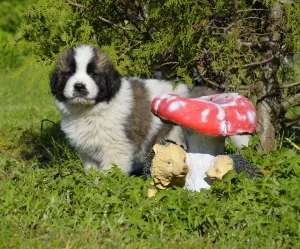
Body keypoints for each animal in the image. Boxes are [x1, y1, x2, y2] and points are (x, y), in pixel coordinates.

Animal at [49, 44, 190, 173]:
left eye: (93, 73)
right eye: (69, 73)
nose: (79, 86)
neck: (90, 110)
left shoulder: (116, 147)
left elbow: (111, 172)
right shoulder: (87, 150)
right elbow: (91, 169)